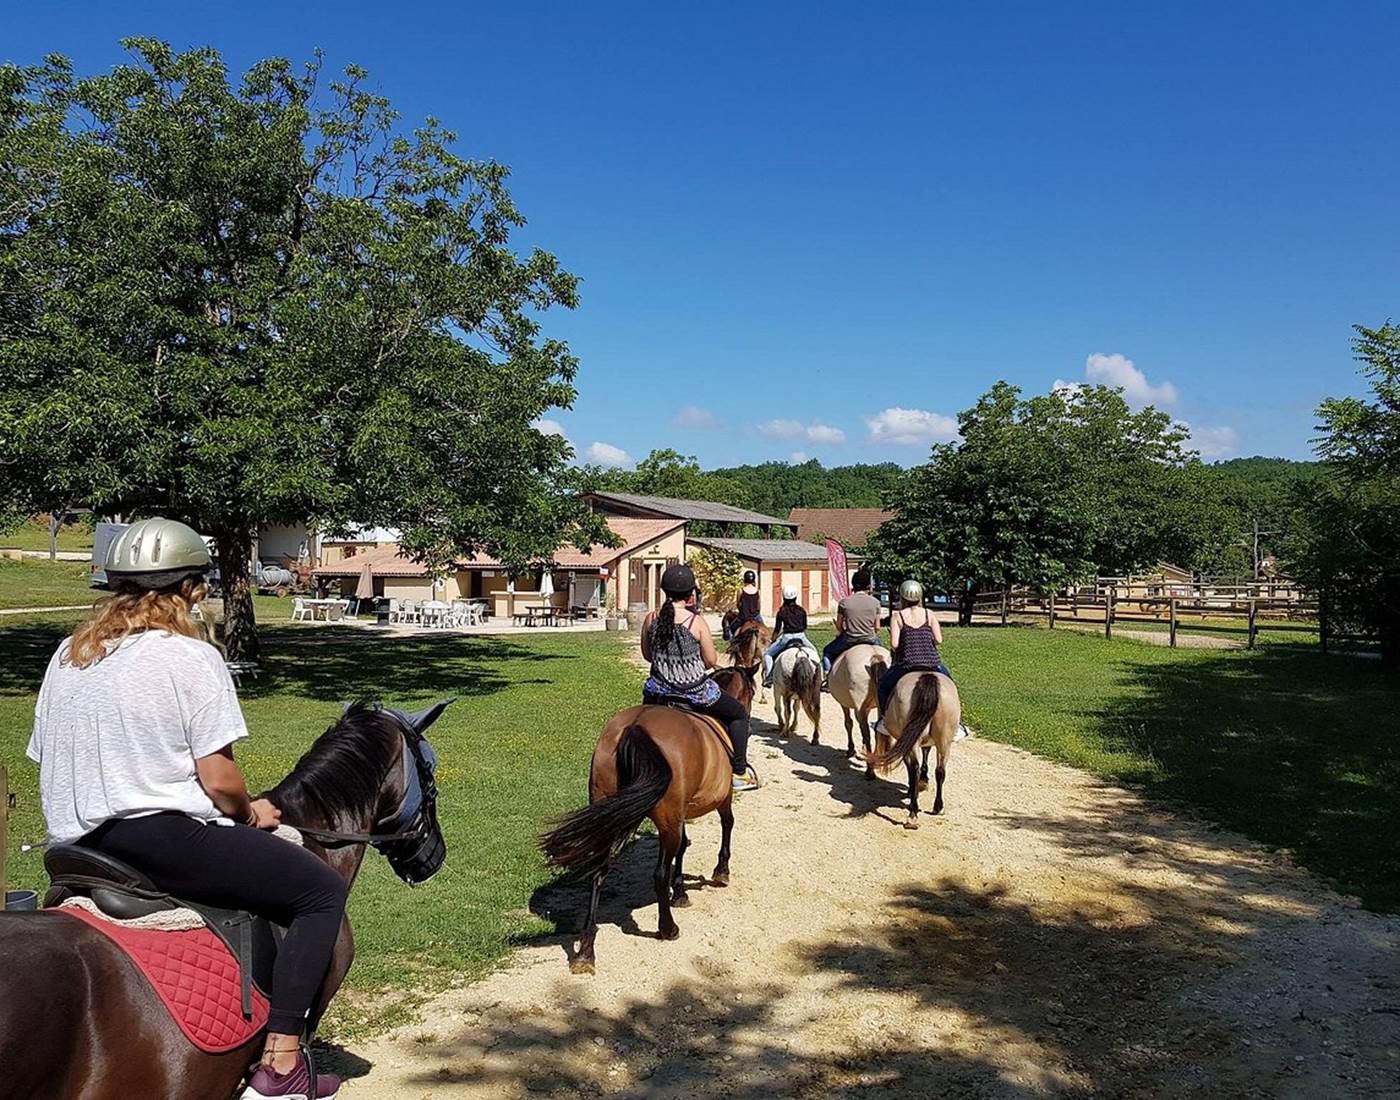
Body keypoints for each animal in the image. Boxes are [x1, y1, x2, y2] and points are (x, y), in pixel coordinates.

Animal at [539, 670, 756, 974]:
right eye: (751, 692)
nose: (749, 721)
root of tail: (635, 727)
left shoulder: (679, 814)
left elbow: (684, 846)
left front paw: (680, 892)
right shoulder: (721, 798)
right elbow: (727, 825)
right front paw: (720, 871)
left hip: (609, 810)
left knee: (598, 872)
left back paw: (586, 951)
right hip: (665, 818)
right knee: (658, 873)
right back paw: (667, 928)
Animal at [827, 642, 891, 777]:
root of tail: (874, 655)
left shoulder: (844, 704)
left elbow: (848, 724)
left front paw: (851, 749)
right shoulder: (867, 708)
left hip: (859, 708)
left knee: (867, 734)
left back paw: (870, 771)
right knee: (877, 732)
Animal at [866, 671, 961, 829]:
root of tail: (928, 677)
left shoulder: (904, 740)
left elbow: (909, 764)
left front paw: (913, 789)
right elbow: (926, 752)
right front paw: (923, 781)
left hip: (914, 739)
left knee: (915, 767)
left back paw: (913, 814)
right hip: (945, 739)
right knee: (940, 770)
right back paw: (938, 807)